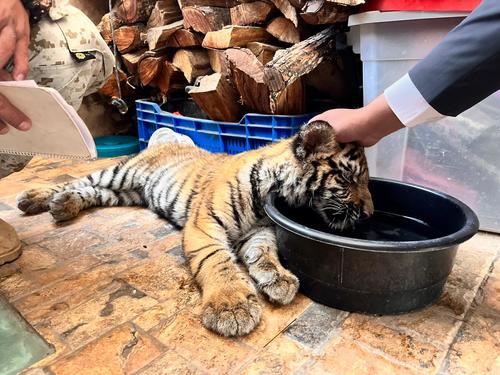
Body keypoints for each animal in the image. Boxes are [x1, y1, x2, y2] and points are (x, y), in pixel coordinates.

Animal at [15, 122, 374, 338]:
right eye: (349, 179)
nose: (370, 213)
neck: (271, 190)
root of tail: (164, 142)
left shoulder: (260, 231)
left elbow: (263, 254)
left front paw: (278, 280)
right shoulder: (205, 225)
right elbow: (218, 262)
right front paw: (232, 307)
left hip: (126, 193)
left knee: (90, 192)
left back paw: (63, 205)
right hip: (120, 174)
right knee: (78, 180)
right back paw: (35, 198)